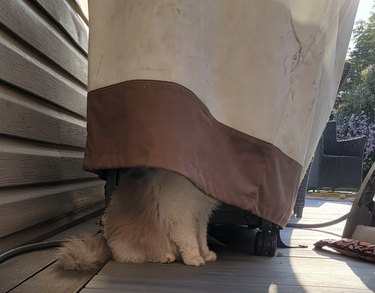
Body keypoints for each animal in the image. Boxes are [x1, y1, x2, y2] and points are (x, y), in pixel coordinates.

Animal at [57, 167, 219, 270]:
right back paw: (165, 256)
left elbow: (202, 240)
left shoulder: (201, 216)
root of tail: (108, 244)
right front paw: (195, 259)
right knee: (138, 256)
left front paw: (206, 254)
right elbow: (190, 242)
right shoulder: (182, 216)